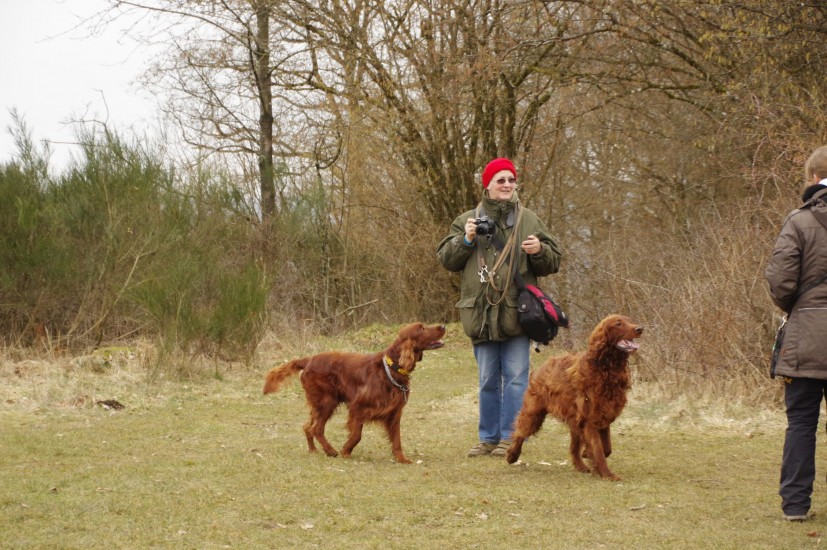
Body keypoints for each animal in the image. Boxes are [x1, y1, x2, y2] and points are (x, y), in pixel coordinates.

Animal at [263, 323, 446, 463]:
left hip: (320, 403)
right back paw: (330, 450)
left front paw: (402, 459)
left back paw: (314, 450)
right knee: (316, 428)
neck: (391, 368)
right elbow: (357, 435)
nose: (443, 326)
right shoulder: (358, 407)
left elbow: (397, 440)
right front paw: (346, 451)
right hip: (328, 401)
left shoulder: (394, 412)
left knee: (308, 426)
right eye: (422, 328)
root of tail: (308, 360)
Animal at [506, 314, 643, 480]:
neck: (606, 369)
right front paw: (607, 474)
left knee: (573, 448)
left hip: (574, 421)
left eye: (630, 320)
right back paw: (512, 455)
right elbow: (599, 450)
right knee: (520, 433)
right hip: (534, 413)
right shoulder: (590, 420)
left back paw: (581, 466)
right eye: (618, 324)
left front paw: (589, 456)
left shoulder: (602, 416)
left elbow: (606, 448)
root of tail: (541, 367)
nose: (640, 328)